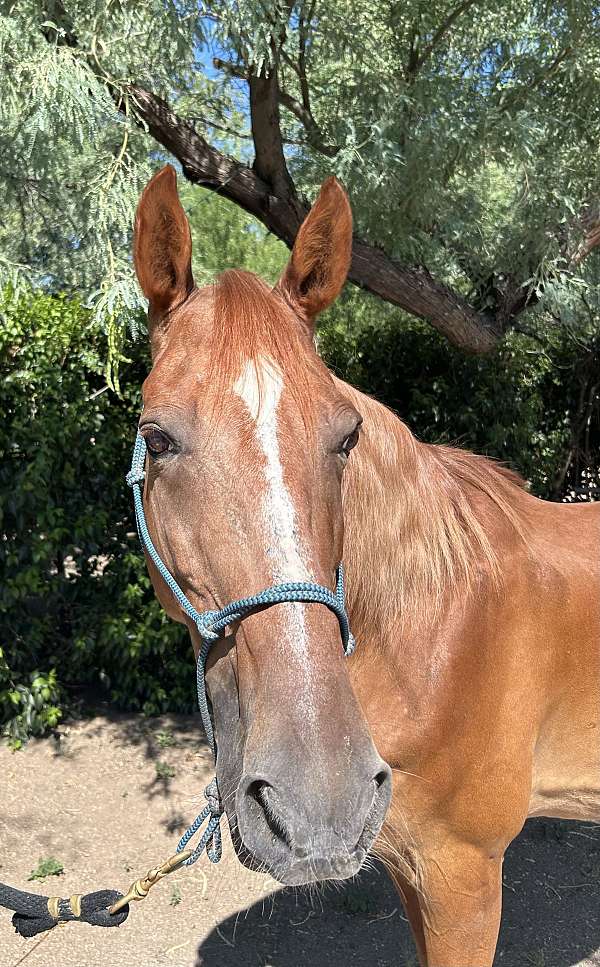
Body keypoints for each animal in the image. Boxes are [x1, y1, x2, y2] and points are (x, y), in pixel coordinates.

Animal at [131, 164, 600, 960]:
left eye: (346, 436)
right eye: (157, 438)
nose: (318, 799)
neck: (435, 637)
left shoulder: (463, 874)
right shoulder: (413, 869)